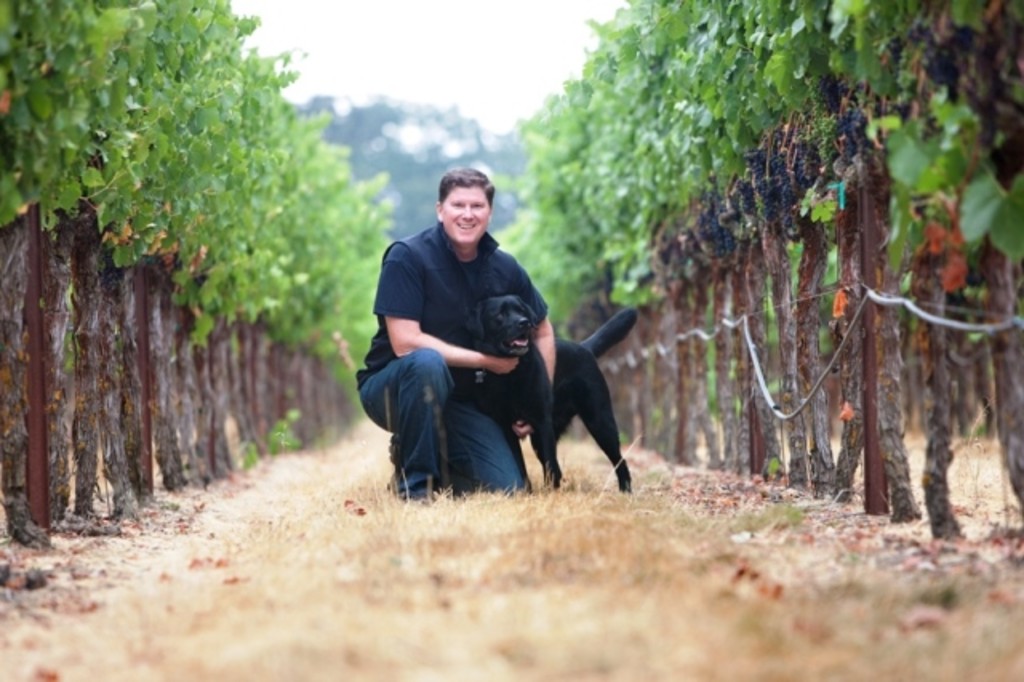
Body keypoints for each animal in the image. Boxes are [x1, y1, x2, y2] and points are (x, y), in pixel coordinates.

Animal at [468, 294, 634, 491]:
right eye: (500, 314)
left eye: (521, 311)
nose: (524, 323)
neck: (511, 375)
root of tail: (584, 347)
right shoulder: (506, 427)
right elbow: (519, 465)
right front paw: (527, 491)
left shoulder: (542, 422)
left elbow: (550, 464)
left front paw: (551, 493)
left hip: (599, 421)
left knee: (619, 460)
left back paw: (625, 490)